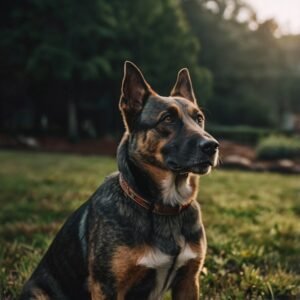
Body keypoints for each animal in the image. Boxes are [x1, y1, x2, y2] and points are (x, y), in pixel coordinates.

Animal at [20, 61, 218, 300]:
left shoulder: (188, 282)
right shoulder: (107, 286)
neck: (164, 207)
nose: (212, 146)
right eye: (167, 119)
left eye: (199, 119)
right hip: (38, 293)